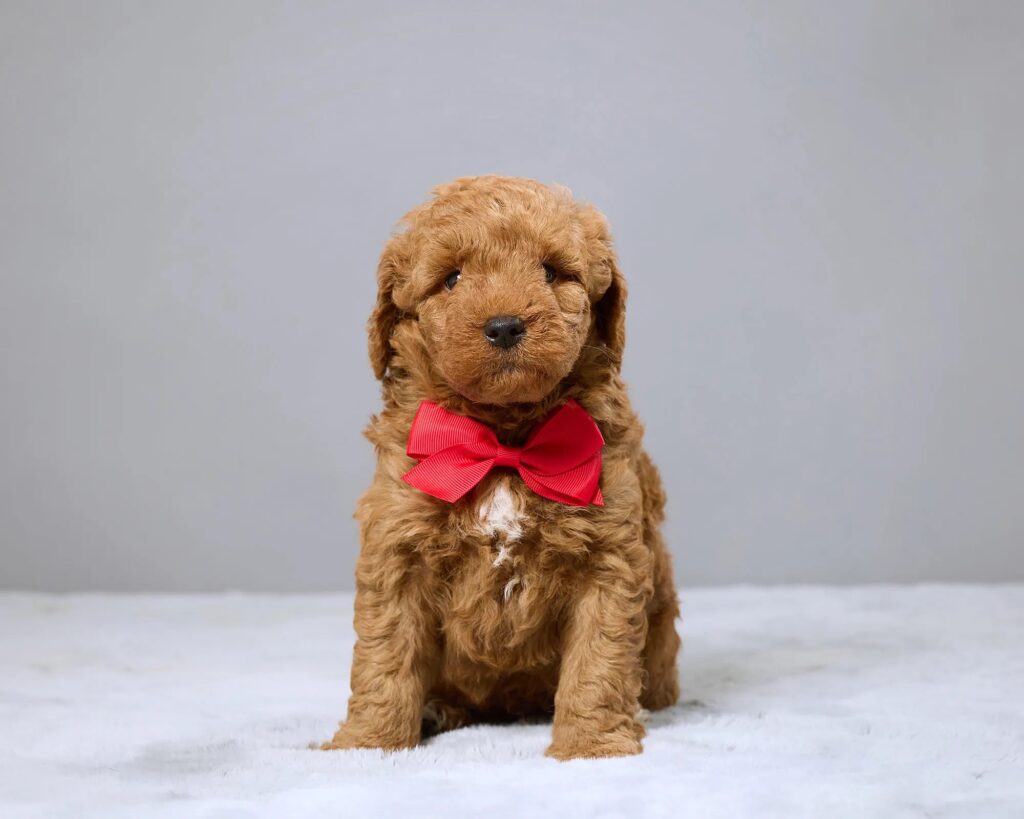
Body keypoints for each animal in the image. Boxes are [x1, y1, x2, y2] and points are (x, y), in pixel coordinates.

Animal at [321, 176, 679, 757]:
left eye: (551, 271)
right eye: (452, 278)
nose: (505, 326)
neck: (503, 441)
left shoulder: (610, 554)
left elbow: (598, 659)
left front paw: (590, 746)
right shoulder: (397, 545)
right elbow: (385, 656)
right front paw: (367, 744)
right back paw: (437, 710)